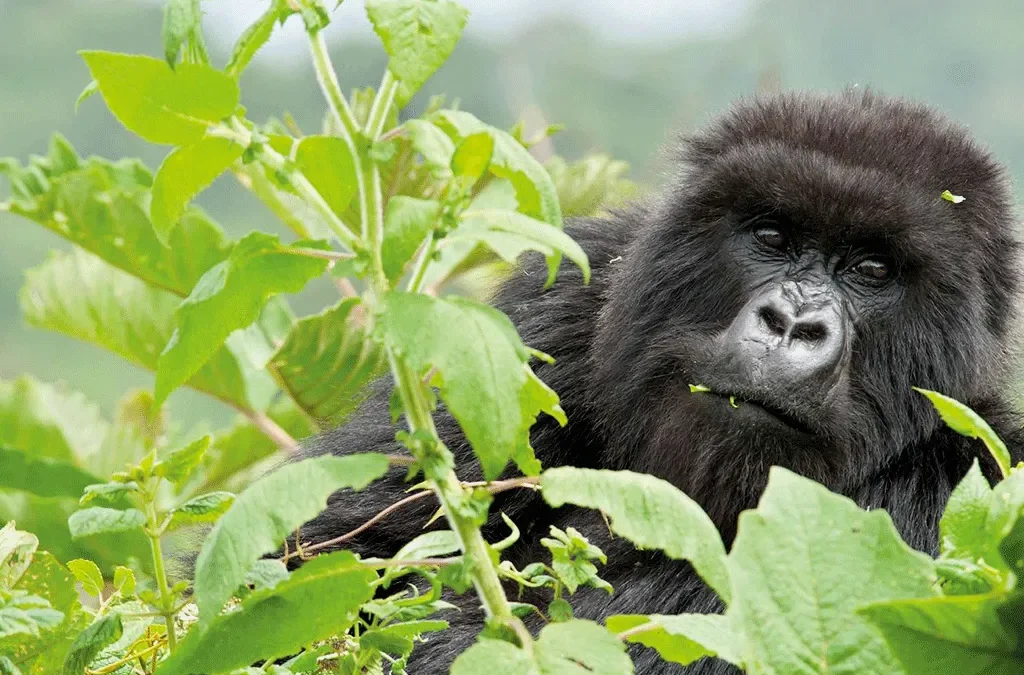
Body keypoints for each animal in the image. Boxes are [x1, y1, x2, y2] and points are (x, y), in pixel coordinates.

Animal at [294, 90, 1024, 673]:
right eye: (772, 236)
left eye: (872, 269)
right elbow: (325, 560)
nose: (791, 323)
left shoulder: (966, 481)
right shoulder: (550, 314)